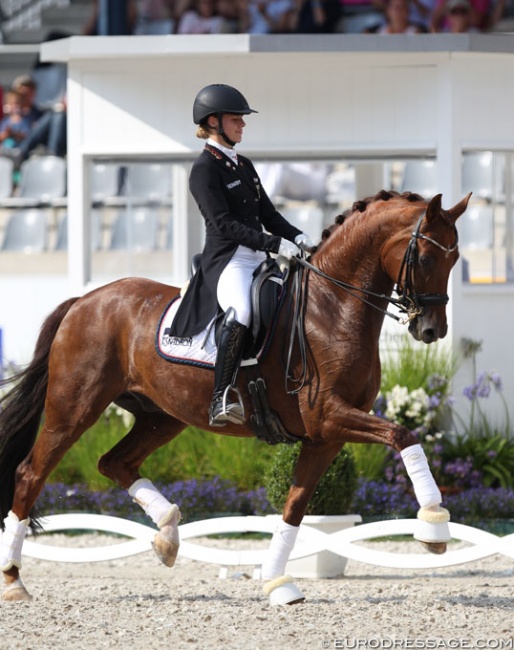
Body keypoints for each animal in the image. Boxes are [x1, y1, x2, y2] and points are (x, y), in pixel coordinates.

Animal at [0, 189, 468, 604]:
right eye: (426, 258)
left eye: (455, 259)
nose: (432, 330)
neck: (332, 308)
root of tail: (85, 299)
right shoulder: (330, 416)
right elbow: (404, 435)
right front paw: (433, 526)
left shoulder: (325, 437)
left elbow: (294, 509)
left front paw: (279, 584)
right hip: (74, 408)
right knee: (30, 474)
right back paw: (14, 580)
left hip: (162, 416)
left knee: (114, 462)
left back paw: (167, 535)